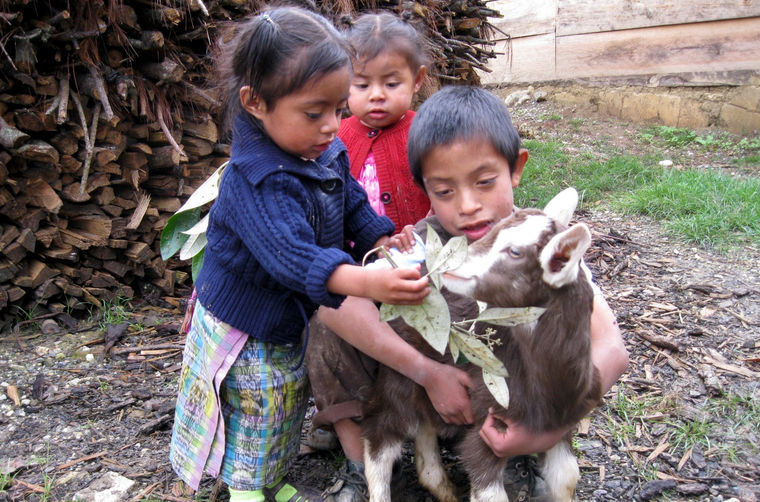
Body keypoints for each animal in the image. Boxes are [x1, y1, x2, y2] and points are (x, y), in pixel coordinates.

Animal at [364, 189, 604, 502]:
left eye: (515, 252)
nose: (448, 262)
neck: (548, 390)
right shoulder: (488, 420)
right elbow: (490, 492)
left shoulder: (559, 424)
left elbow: (566, 476)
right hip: (398, 374)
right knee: (380, 438)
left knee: (424, 428)